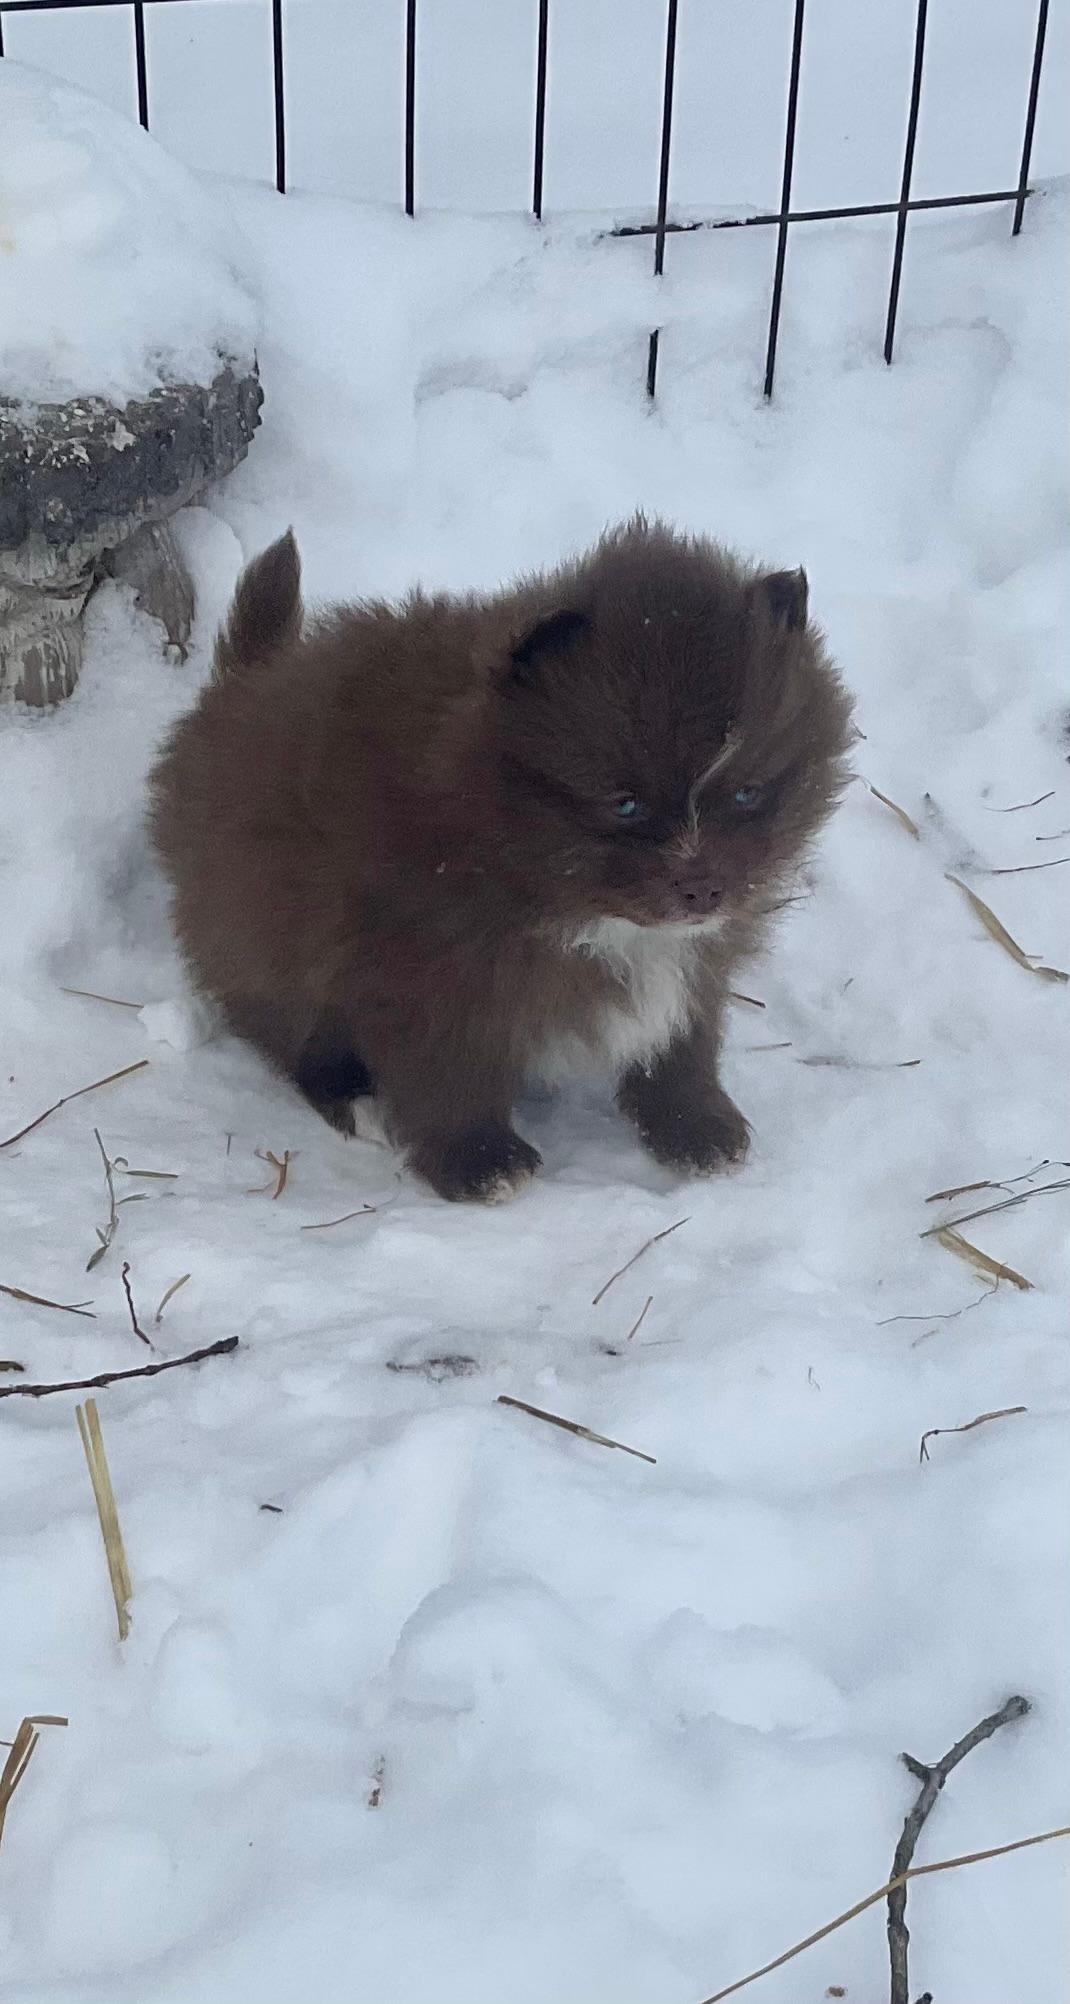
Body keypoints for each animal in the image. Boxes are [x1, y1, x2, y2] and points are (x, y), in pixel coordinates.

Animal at [151, 525, 857, 1194]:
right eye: (624, 804)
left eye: (747, 793)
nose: (702, 889)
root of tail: (235, 692)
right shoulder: (424, 963)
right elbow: (445, 1072)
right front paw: (478, 1161)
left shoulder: (696, 956)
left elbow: (682, 1040)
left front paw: (697, 1125)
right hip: (261, 924)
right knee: (287, 1028)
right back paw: (357, 1100)